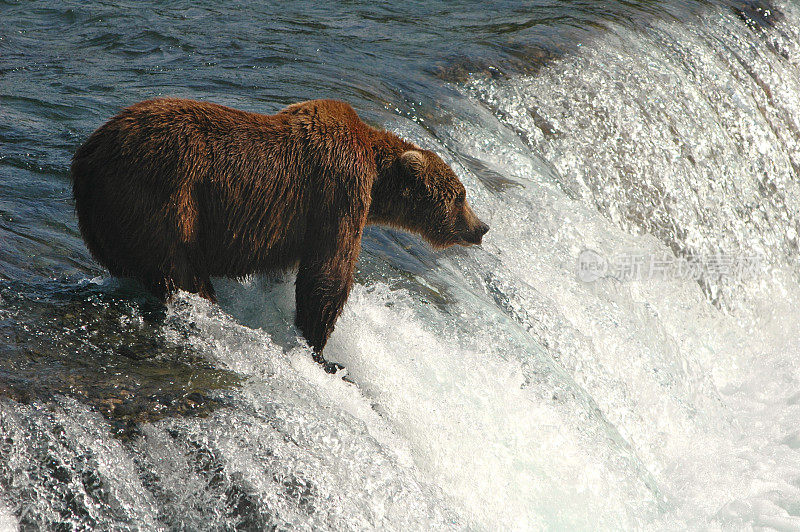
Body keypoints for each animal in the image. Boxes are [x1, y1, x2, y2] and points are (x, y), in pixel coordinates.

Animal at [72, 97, 490, 368]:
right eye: (460, 196)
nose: (482, 227)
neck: (376, 173)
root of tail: (87, 157)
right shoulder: (338, 191)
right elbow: (328, 273)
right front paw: (322, 351)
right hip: (165, 198)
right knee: (181, 269)